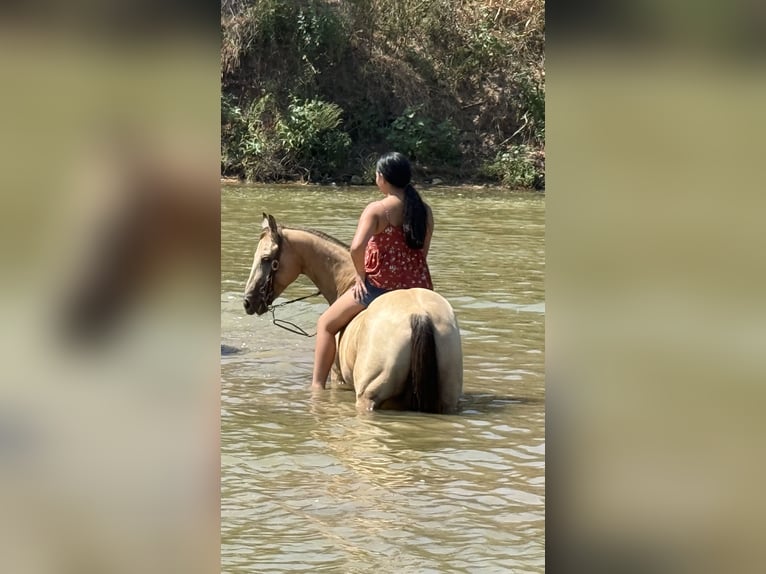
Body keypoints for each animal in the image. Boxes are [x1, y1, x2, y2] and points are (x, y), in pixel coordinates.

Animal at [243, 213, 463, 413]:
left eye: (266, 258)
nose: (248, 302)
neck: (348, 280)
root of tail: (419, 315)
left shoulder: (338, 380)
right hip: (447, 399)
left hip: (367, 396)